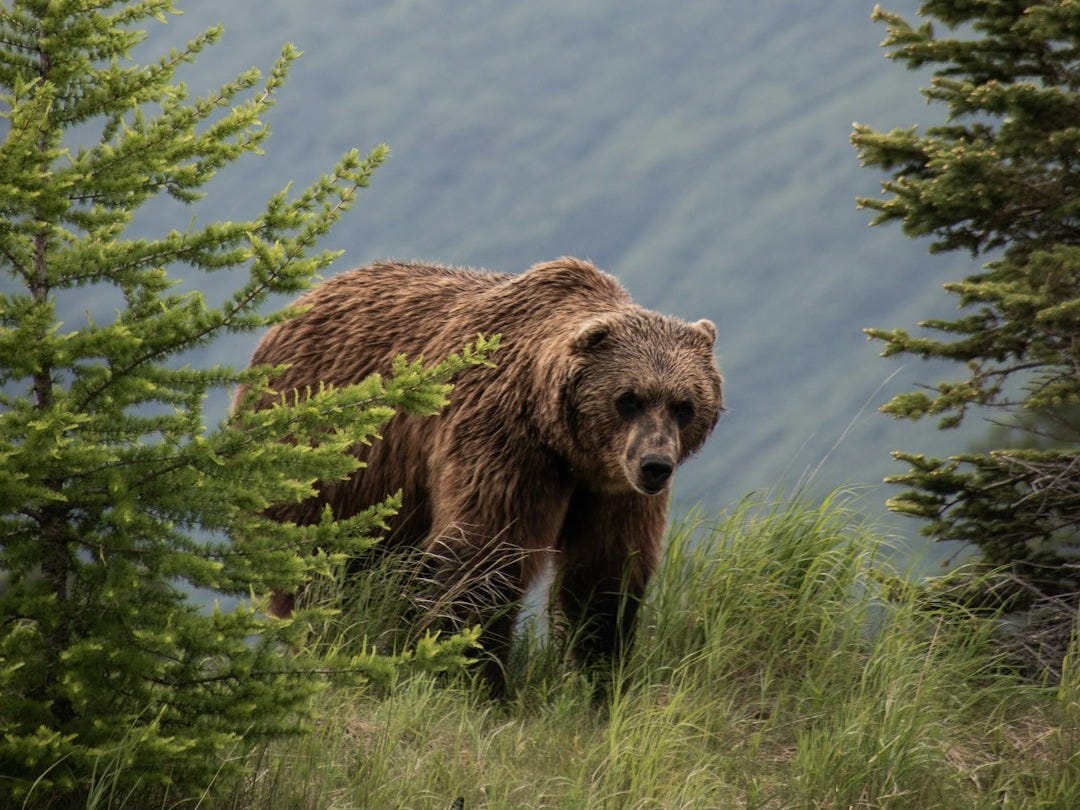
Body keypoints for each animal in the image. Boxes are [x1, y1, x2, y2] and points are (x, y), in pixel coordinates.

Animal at [236, 257, 723, 695]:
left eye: (684, 405)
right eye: (629, 398)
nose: (655, 465)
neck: (564, 444)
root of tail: (298, 305)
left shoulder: (611, 488)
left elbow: (605, 571)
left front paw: (598, 677)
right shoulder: (504, 442)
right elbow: (484, 555)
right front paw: (474, 678)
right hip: (326, 465)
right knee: (321, 570)